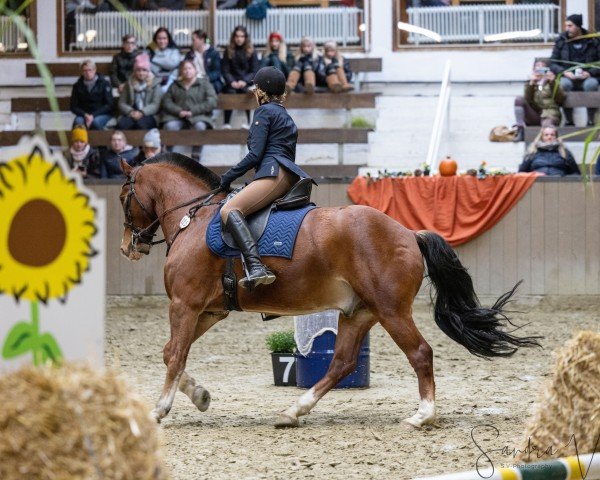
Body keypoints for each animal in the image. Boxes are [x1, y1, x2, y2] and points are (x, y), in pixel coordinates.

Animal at [118, 154, 540, 428]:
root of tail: (408, 232)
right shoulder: (207, 310)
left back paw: (423, 416)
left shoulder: (185, 305)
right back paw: (293, 412)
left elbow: (174, 355)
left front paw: (159, 410)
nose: (128, 247)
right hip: (359, 312)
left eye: (124, 198)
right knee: (341, 363)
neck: (193, 218)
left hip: (391, 311)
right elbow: (171, 353)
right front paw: (200, 396)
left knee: (420, 353)